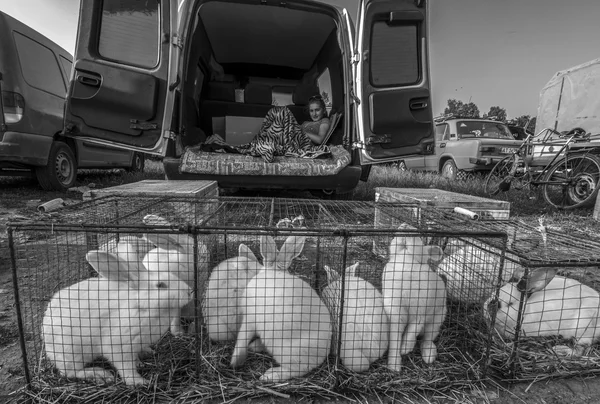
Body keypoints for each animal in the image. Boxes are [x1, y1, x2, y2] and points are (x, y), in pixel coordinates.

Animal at [42, 249, 191, 386]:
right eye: (161, 285)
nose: (190, 291)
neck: (140, 305)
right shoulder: (119, 345)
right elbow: (126, 368)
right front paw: (139, 381)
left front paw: (140, 361)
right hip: (71, 352)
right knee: (71, 372)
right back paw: (100, 374)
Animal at [231, 235, 332, 380]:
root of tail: (324, 352)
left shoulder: (250, 318)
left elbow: (242, 338)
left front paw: (235, 361)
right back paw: (256, 347)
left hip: (285, 350)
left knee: (297, 370)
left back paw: (270, 375)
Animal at [382, 226, 448, 370]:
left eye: (420, 239)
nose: (405, 226)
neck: (407, 260)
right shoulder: (395, 313)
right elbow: (395, 339)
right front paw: (394, 366)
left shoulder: (420, 313)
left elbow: (412, 332)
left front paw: (405, 349)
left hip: (436, 320)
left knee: (427, 338)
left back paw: (429, 356)